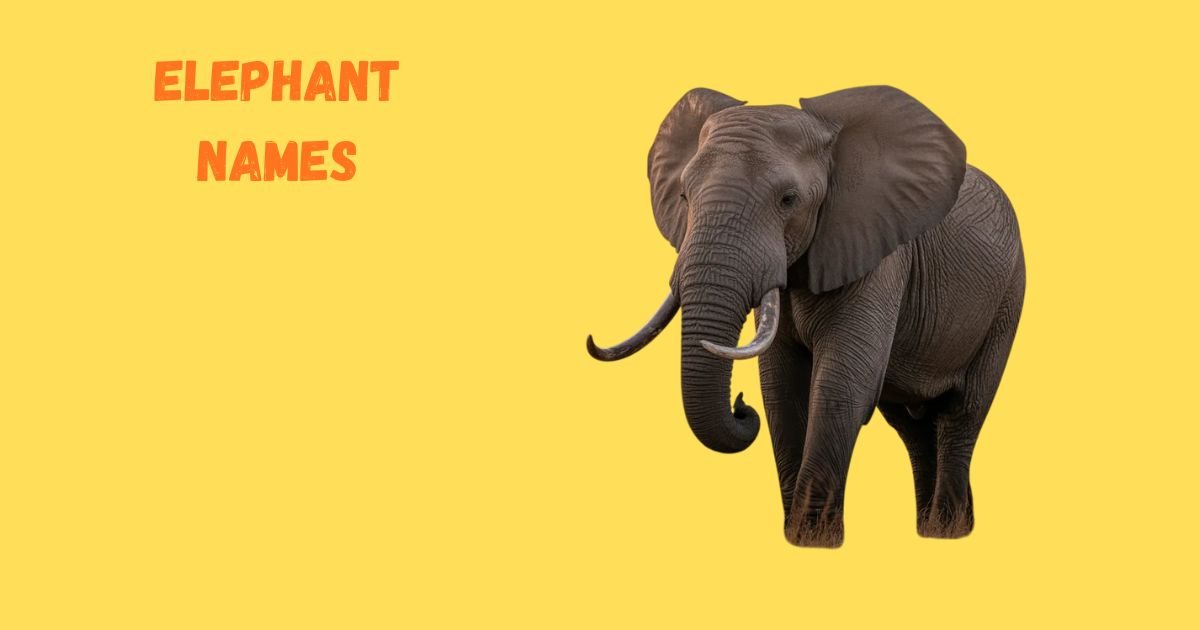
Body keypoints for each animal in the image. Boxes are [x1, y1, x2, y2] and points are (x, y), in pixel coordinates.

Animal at [586, 86, 1024, 547]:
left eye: (788, 200)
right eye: (685, 197)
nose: (740, 406)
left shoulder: (878, 253)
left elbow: (841, 383)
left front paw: (812, 540)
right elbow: (780, 388)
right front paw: (796, 536)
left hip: (1008, 298)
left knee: (963, 412)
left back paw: (947, 532)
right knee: (911, 426)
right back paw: (931, 529)